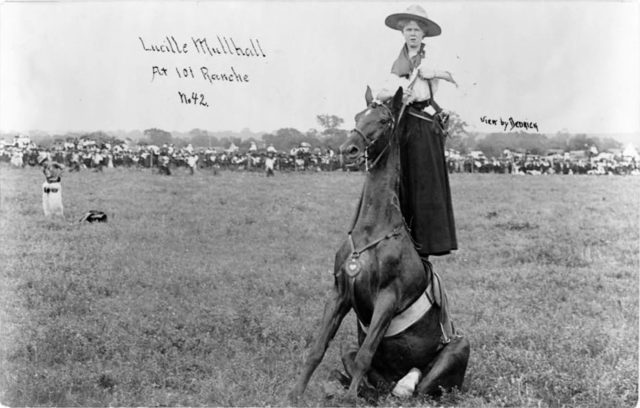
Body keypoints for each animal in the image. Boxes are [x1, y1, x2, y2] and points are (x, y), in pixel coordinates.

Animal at [290, 87, 470, 404]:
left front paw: (348, 400)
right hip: (354, 354)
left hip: (459, 347)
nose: (348, 149)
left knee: (420, 389)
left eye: (385, 120)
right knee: (373, 386)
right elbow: (318, 348)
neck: (372, 230)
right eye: (358, 116)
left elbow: (366, 353)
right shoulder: (339, 293)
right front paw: (296, 392)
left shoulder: (387, 298)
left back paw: (404, 384)